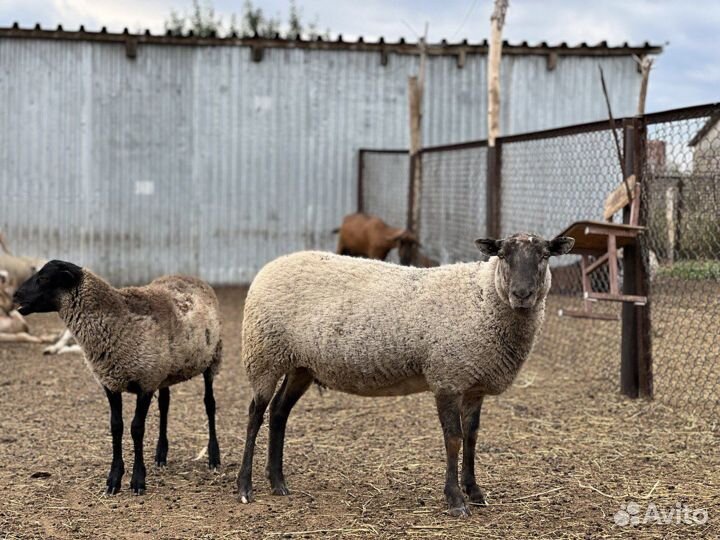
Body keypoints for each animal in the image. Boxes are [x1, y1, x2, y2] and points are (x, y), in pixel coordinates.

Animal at [13, 260, 223, 495]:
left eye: (44, 278)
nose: (15, 295)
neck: (117, 318)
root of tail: (191, 277)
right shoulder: (111, 381)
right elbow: (116, 426)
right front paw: (114, 478)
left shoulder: (145, 382)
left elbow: (137, 429)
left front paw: (138, 480)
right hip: (165, 372)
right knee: (165, 405)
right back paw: (161, 454)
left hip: (211, 359)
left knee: (209, 404)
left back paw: (214, 457)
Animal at [236, 232, 574, 516]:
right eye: (503, 255)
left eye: (545, 256)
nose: (522, 294)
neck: (482, 297)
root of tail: (272, 265)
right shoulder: (447, 378)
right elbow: (454, 439)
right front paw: (455, 500)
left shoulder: (473, 384)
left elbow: (473, 437)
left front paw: (475, 491)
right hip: (264, 354)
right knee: (255, 415)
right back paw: (245, 487)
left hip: (301, 366)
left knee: (279, 412)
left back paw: (278, 483)